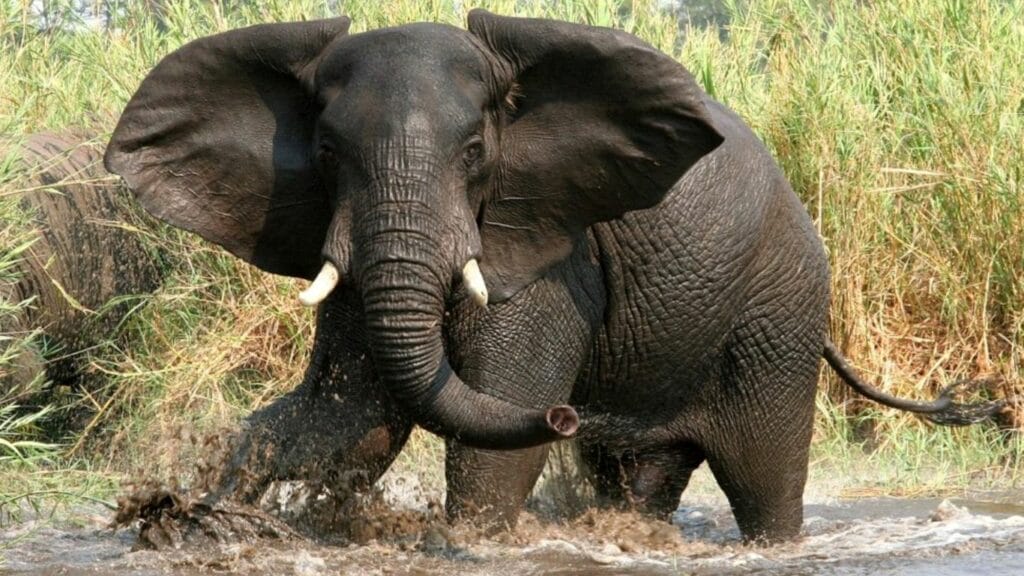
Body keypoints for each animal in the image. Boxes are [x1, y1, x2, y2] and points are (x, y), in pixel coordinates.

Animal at [104, 11, 1003, 543]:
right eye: (325, 155)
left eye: (475, 154)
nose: (569, 413)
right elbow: (349, 417)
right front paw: (216, 508)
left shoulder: (548, 255)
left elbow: (492, 423)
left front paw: (471, 544)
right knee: (642, 476)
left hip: (778, 311)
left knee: (764, 482)